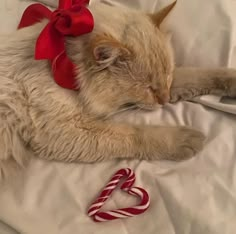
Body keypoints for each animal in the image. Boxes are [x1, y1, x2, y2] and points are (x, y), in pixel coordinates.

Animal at [0, 1, 236, 178]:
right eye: (148, 88)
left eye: (167, 75)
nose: (164, 101)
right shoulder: (64, 131)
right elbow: (134, 133)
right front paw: (185, 140)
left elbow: (196, 74)